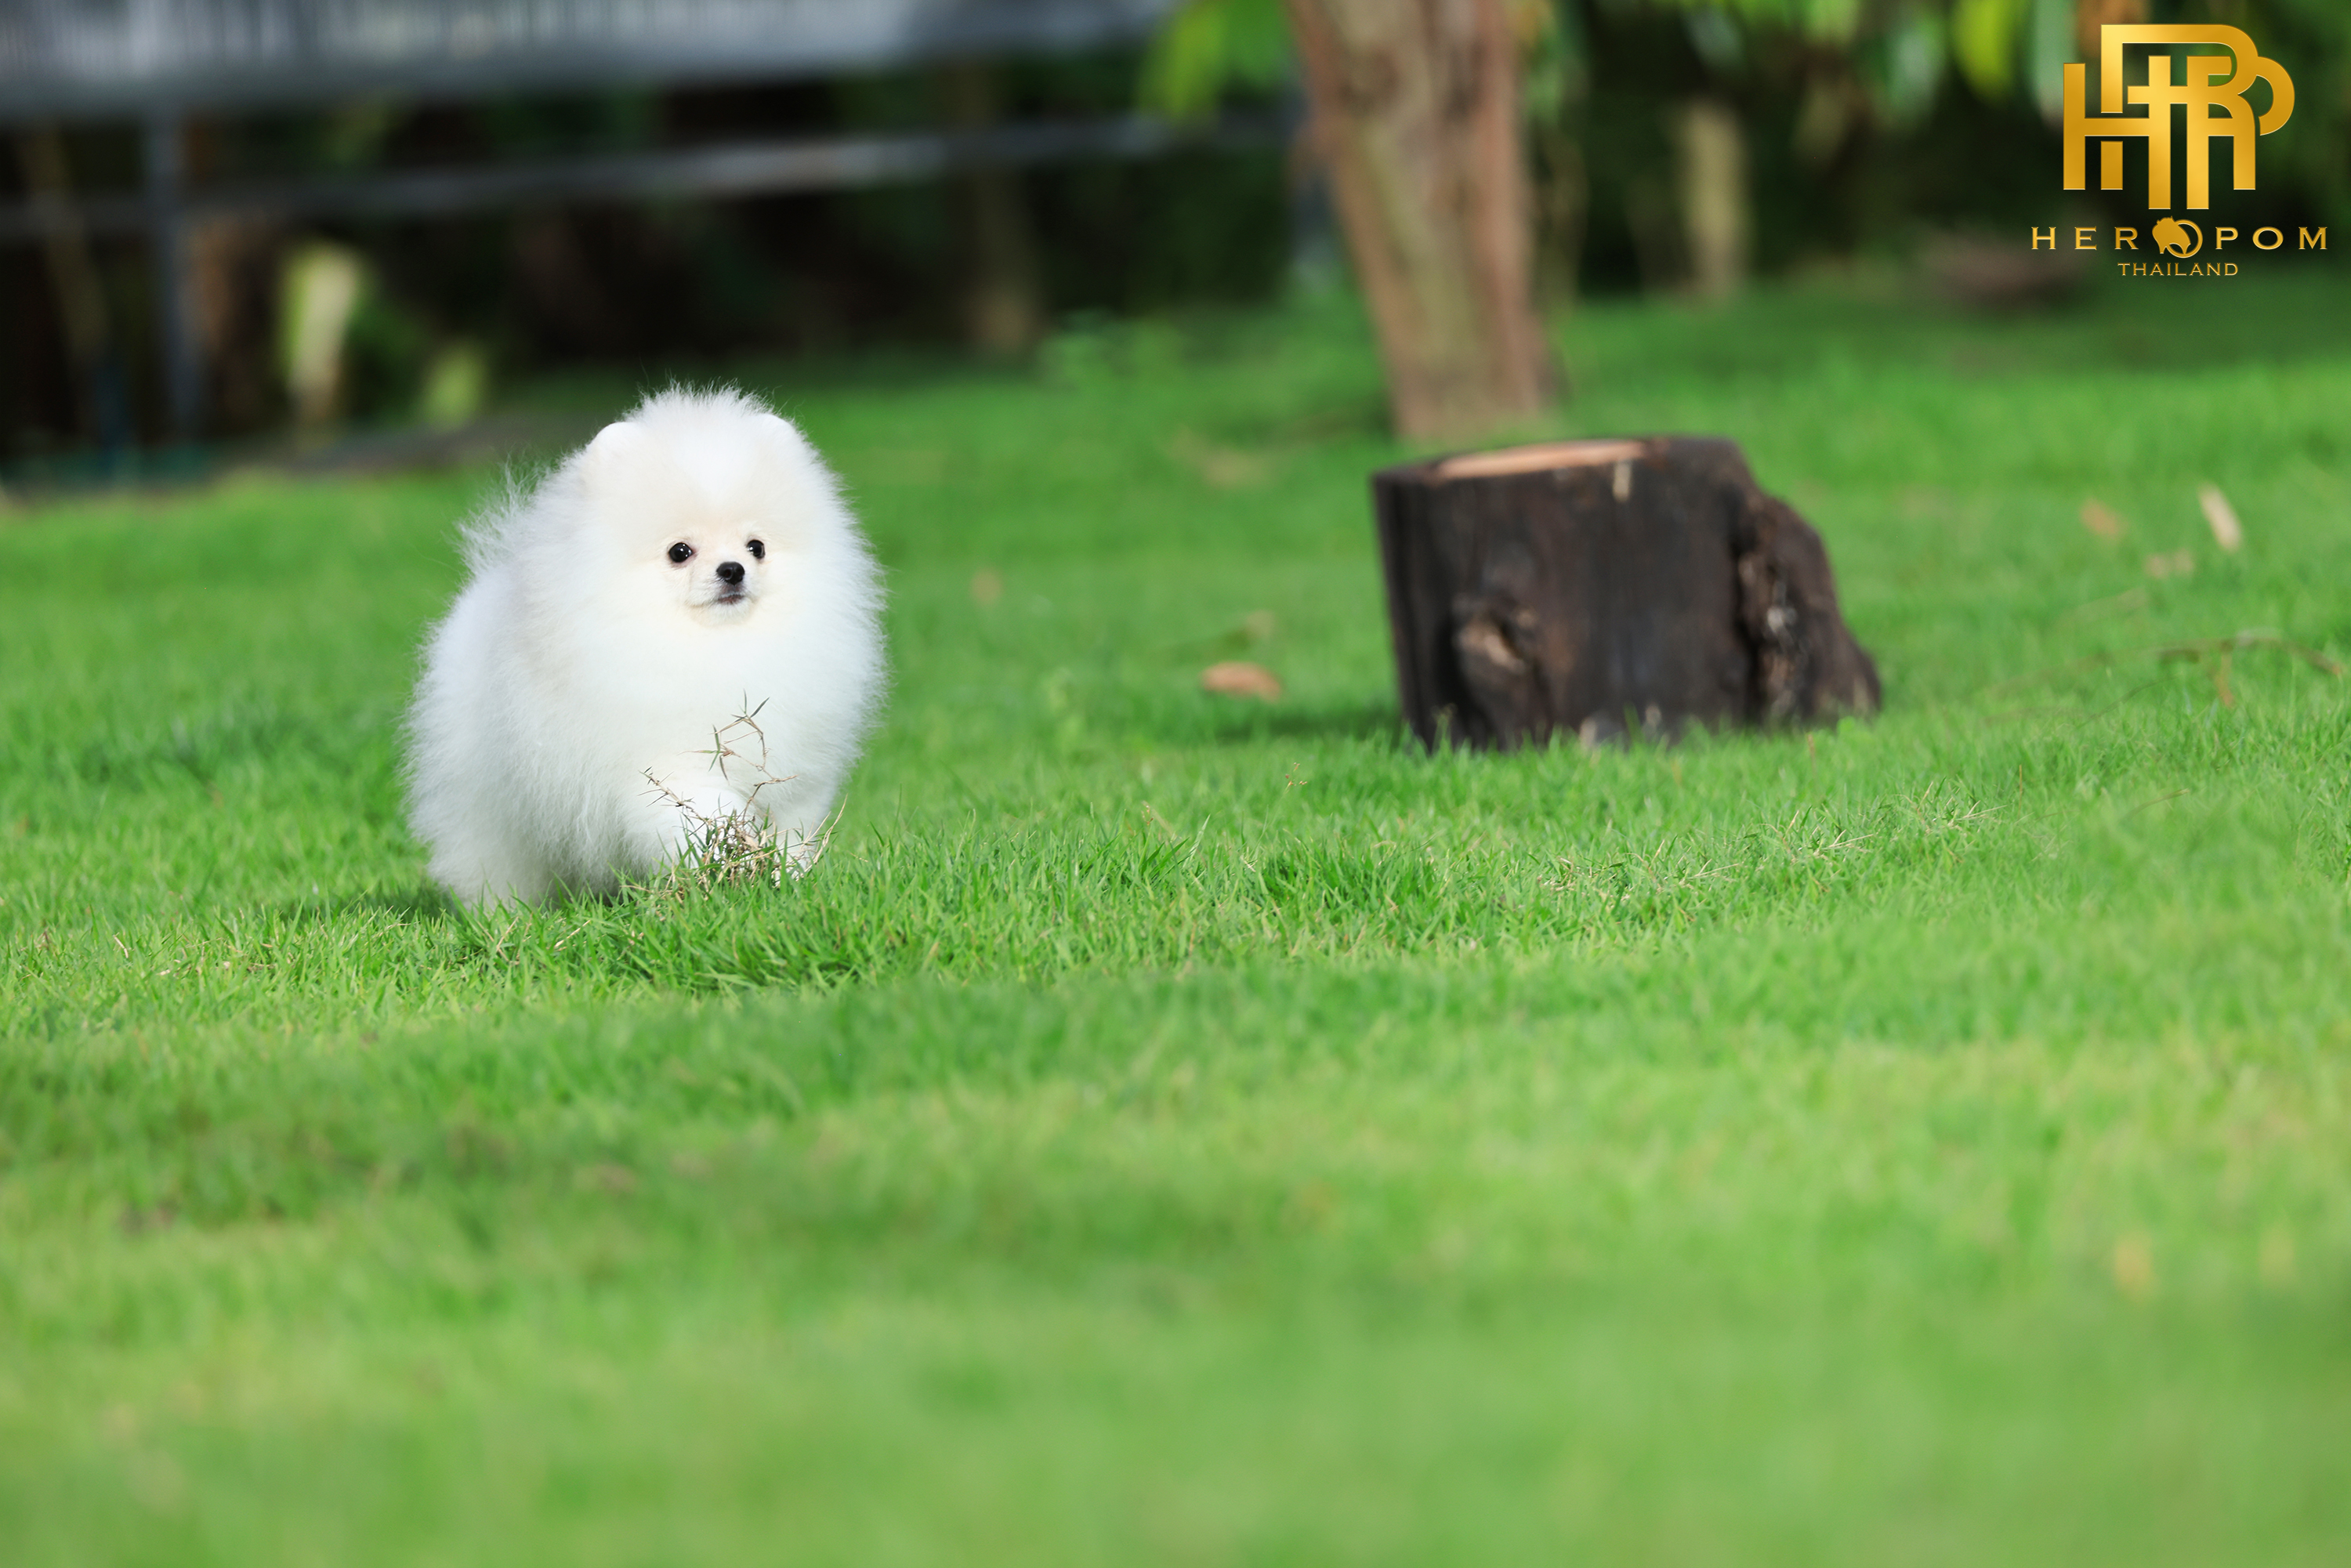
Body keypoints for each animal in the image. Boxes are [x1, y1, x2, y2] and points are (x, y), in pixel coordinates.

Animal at [405, 387, 884, 905]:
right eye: (680, 552)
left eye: (756, 546)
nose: (733, 569)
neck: (718, 648)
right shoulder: (671, 760)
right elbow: (704, 814)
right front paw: (730, 866)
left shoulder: (796, 773)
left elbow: (790, 831)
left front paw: (783, 879)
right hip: (489, 806)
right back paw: (502, 911)